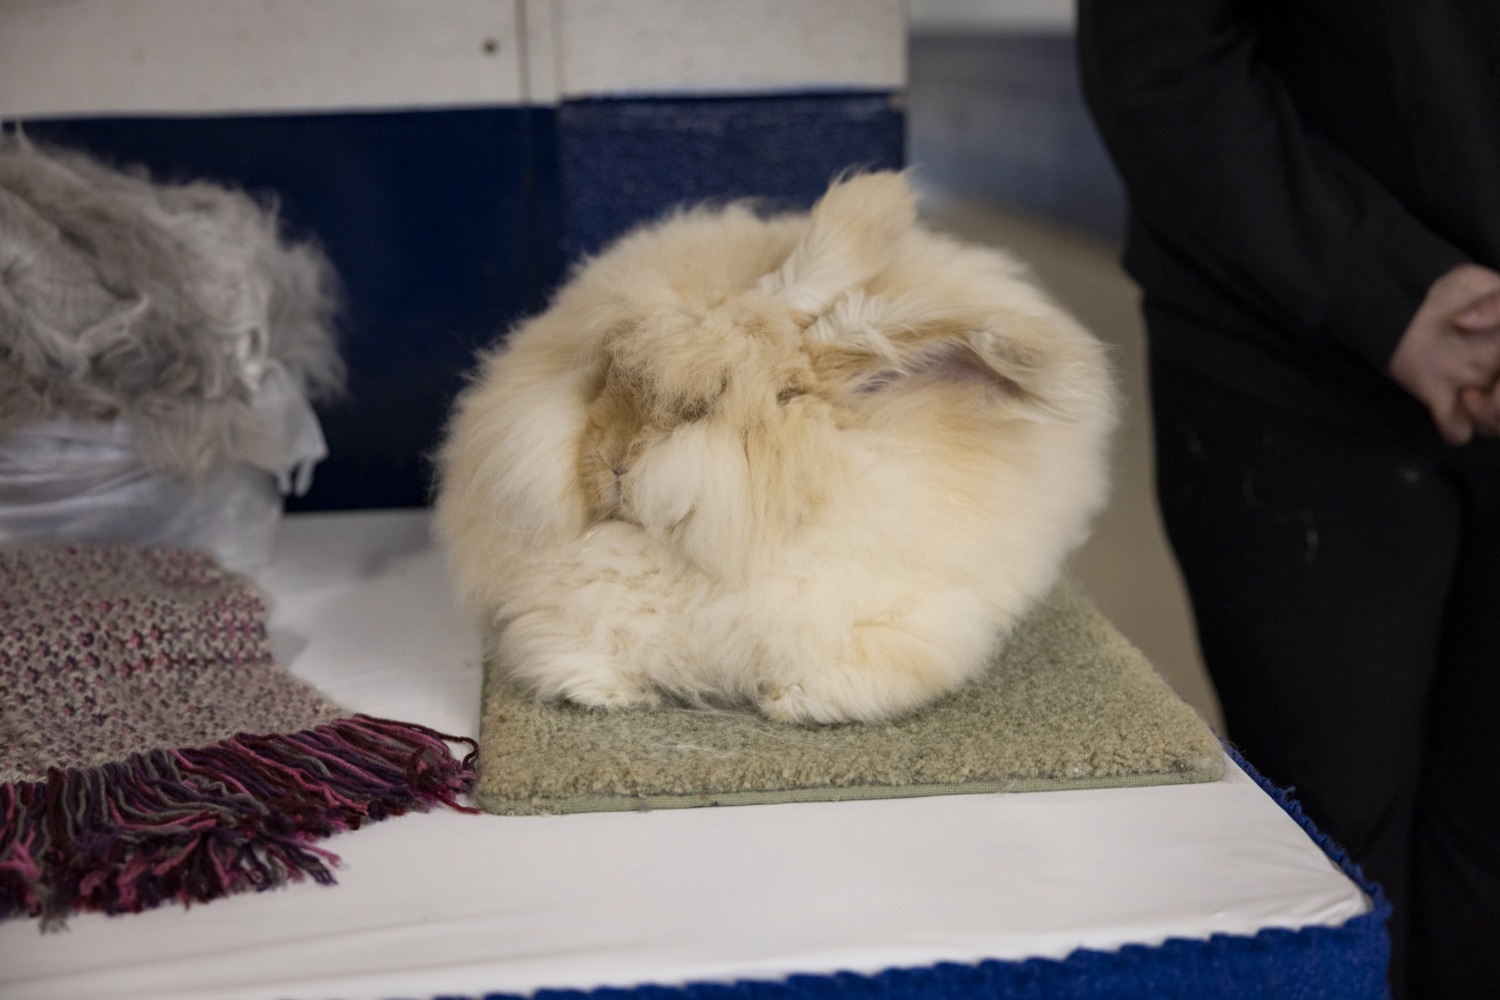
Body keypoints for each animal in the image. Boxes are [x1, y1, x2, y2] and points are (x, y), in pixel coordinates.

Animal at [433, 171, 1117, 724]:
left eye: (705, 405)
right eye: (606, 375)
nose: (611, 460)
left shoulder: (908, 621)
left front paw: (794, 704)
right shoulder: (553, 614)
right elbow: (570, 651)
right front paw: (609, 694)